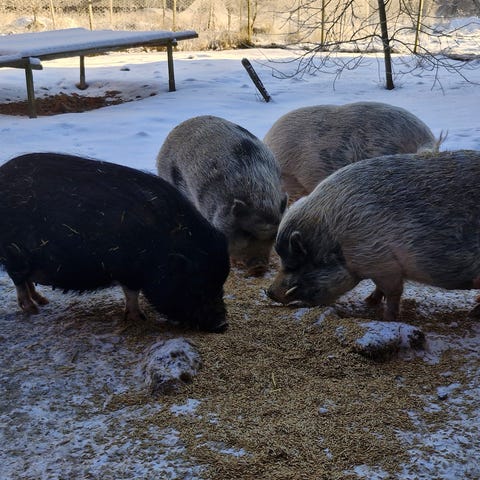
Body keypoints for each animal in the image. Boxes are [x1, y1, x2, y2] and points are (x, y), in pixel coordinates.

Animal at [0, 153, 230, 332]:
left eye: (221, 283)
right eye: (197, 285)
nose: (223, 325)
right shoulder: (127, 270)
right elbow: (131, 294)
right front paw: (139, 319)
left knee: (27, 280)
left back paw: (43, 301)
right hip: (14, 254)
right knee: (19, 282)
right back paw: (34, 309)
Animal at [267, 150, 480, 321]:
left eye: (296, 265)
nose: (269, 292)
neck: (340, 241)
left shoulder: (385, 265)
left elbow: (393, 292)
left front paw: (386, 318)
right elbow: (381, 289)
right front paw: (369, 301)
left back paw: (472, 314)